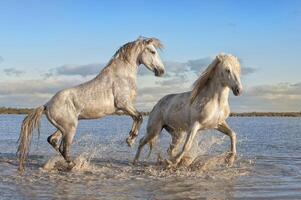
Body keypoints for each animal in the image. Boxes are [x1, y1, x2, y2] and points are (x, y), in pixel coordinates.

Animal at [17, 36, 165, 171]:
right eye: (153, 52)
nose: (161, 71)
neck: (122, 76)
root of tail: (47, 105)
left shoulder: (121, 109)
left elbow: (136, 117)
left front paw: (130, 139)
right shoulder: (124, 104)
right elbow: (139, 116)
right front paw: (130, 140)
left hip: (63, 127)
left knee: (52, 140)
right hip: (70, 128)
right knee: (64, 148)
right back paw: (75, 165)